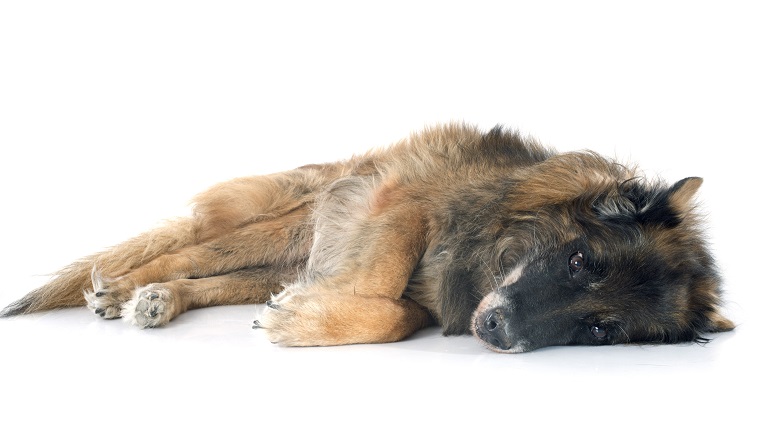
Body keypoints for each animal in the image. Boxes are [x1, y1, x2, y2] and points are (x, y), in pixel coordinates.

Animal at [1, 122, 736, 352]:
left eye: (601, 329)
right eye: (581, 261)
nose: (498, 331)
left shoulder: (431, 298)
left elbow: (394, 315)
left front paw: (305, 316)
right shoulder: (401, 200)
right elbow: (382, 282)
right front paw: (306, 318)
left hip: (273, 261)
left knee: (210, 279)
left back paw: (160, 300)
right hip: (281, 225)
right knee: (184, 251)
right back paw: (121, 286)